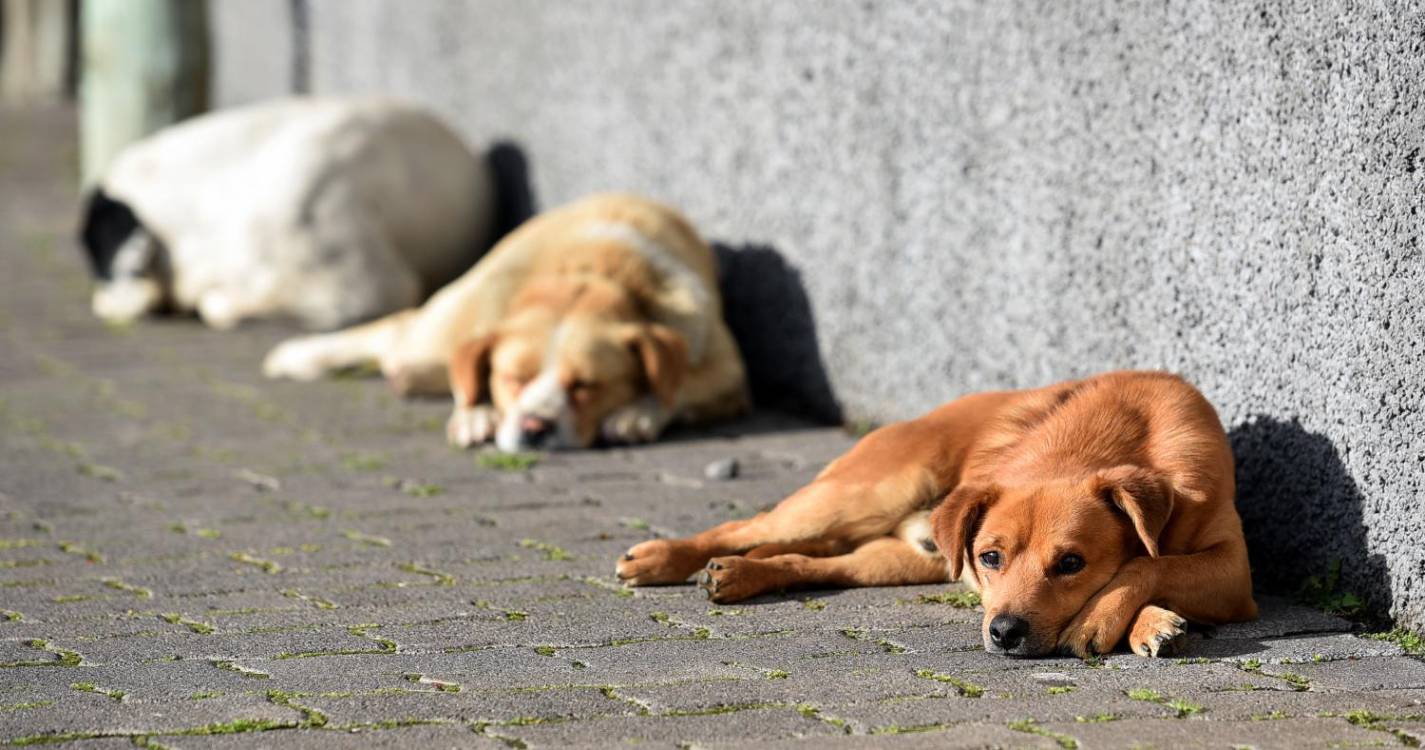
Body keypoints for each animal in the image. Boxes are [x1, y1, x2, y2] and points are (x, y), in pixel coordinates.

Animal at [269, 192, 758, 453]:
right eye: (513, 378)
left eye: (587, 385)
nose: (534, 428)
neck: (591, 273)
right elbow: (469, 377)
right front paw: (475, 412)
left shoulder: (726, 368)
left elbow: (678, 387)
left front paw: (637, 413)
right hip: (443, 324)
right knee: (401, 335)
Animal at [615, 370, 1259, 658]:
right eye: (990, 558)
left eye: (1072, 563)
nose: (1004, 633)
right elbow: (1150, 563)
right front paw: (1121, 620)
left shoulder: (1233, 570)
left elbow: (1148, 564)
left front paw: (1137, 620)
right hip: (857, 496)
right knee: (746, 527)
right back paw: (662, 557)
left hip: (896, 559)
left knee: (818, 562)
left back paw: (744, 572)